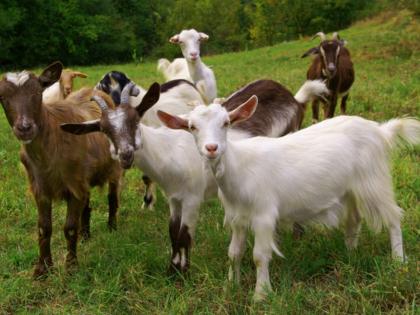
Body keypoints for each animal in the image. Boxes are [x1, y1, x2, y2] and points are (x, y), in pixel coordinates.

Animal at [0, 62, 124, 278]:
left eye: (37, 93)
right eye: (2, 98)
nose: (24, 128)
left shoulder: (73, 184)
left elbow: (69, 227)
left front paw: (71, 266)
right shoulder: (40, 188)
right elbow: (44, 228)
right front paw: (42, 269)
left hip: (112, 167)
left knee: (112, 197)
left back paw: (111, 227)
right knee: (87, 204)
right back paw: (85, 235)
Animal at [159, 97, 418, 302]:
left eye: (226, 123)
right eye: (192, 127)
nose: (211, 148)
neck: (239, 168)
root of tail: (381, 131)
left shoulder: (264, 214)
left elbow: (260, 256)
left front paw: (261, 295)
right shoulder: (237, 217)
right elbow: (234, 252)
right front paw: (230, 287)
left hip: (373, 180)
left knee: (393, 217)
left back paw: (399, 261)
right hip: (349, 189)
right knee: (353, 220)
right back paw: (350, 254)